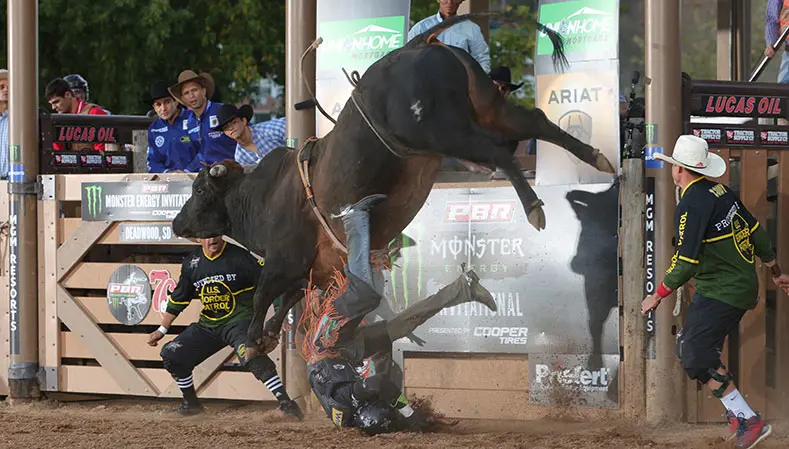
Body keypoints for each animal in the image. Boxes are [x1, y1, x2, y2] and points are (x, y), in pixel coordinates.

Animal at [172, 14, 616, 357]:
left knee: (499, 152)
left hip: (446, 130)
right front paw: (266, 336)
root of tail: (418, 45)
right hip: (488, 106)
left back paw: (535, 207)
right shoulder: (313, 267)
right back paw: (597, 158)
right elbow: (287, 298)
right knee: (537, 120)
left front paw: (251, 342)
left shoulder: (284, 259)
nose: (177, 224)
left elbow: (265, 293)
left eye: (198, 191)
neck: (263, 197)